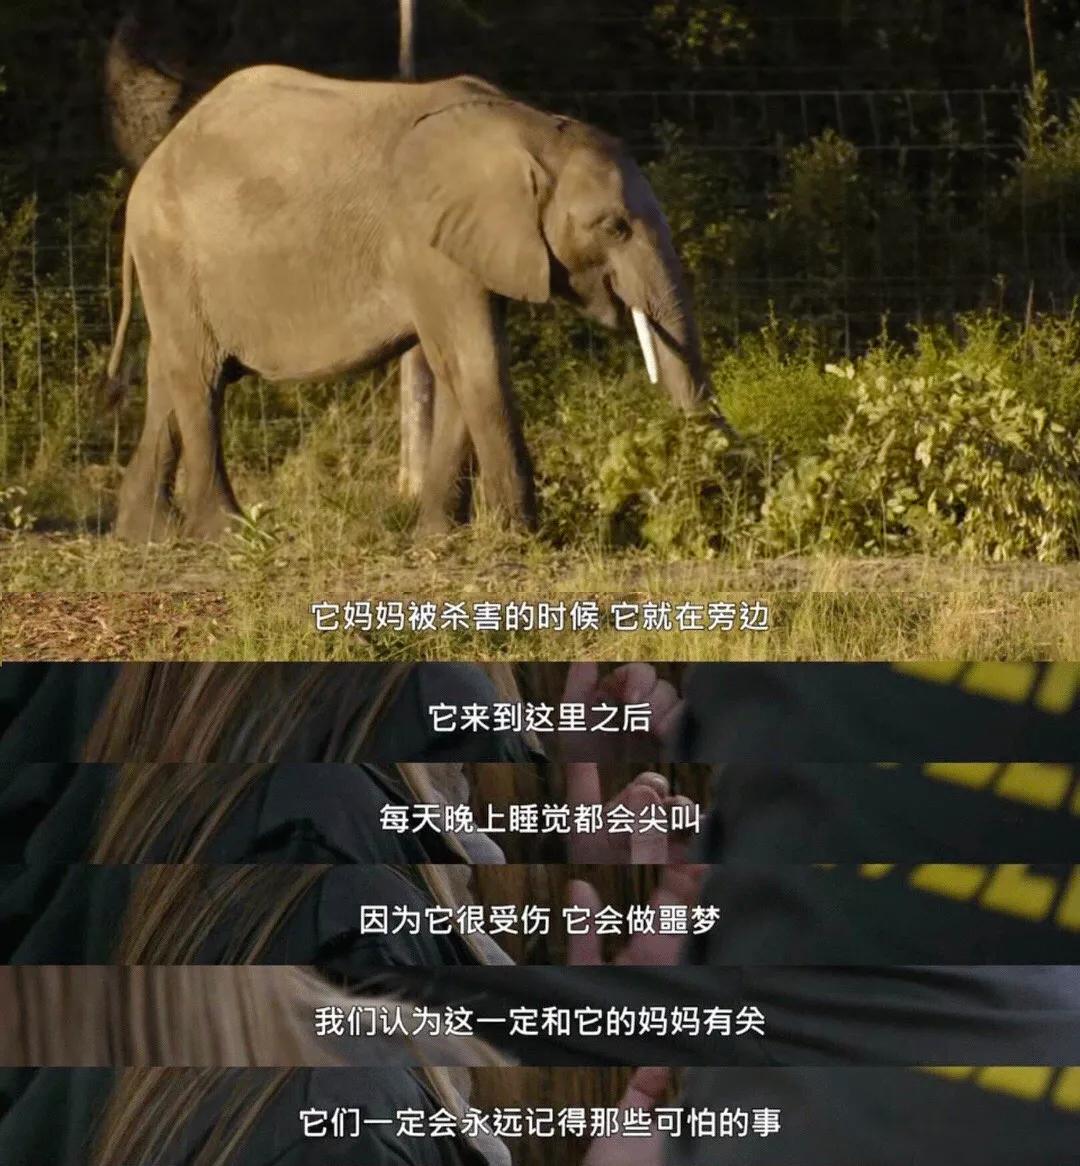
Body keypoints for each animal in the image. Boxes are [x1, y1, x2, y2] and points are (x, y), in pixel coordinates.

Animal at [103, 65, 721, 540]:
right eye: (614, 228)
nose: (708, 490)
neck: (531, 128)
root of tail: (149, 171)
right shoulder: (425, 239)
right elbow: (475, 360)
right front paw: (521, 537)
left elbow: (456, 365)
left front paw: (441, 537)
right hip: (171, 253)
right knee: (200, 380)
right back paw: (230, 535)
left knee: (171, 377)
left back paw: (146, 534)